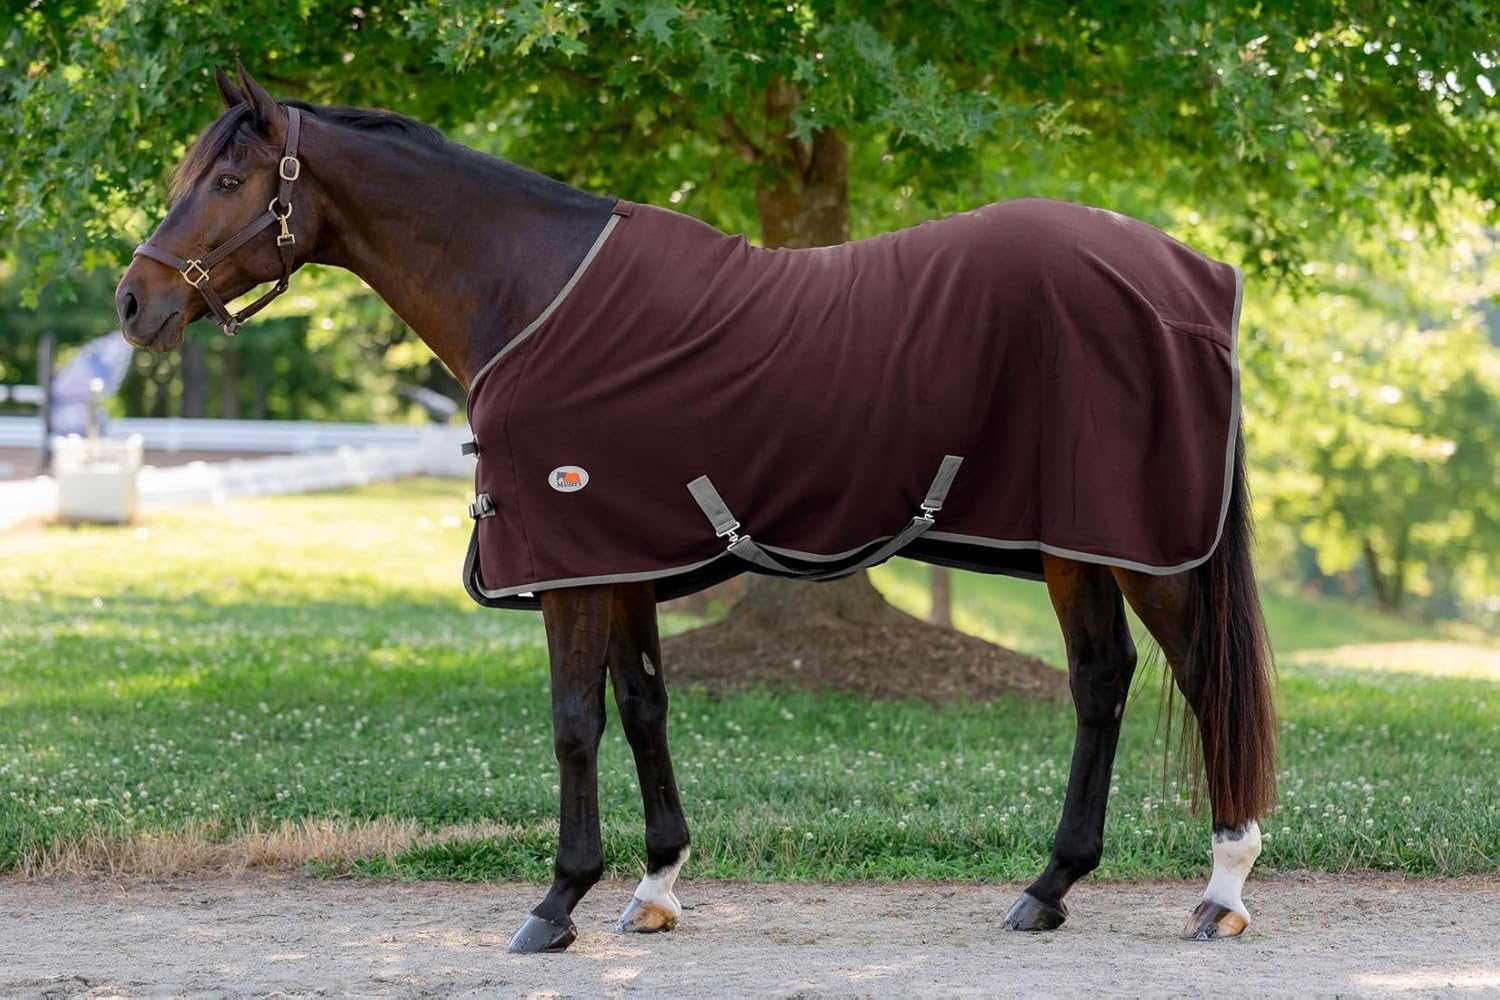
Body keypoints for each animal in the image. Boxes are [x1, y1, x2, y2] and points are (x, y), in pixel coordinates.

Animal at [116, 64, 1277, 953]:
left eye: (229, 177)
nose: (135, 302)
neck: (530, 290)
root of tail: (1198, 276)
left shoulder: (569, 564)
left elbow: (573, 723)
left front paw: (557, 901)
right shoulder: (620, 557)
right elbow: (642, 709)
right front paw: (655, 887)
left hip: (1145, 548)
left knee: (1200, 679)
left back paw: (1221, 890)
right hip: (1076, 545)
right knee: (1102, 681)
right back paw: (1049, 888)